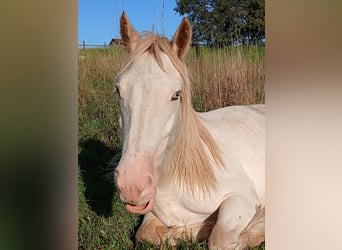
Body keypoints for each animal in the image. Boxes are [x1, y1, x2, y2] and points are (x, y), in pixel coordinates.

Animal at [113, 12, 266, 250]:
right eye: (118, 90)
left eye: (176, 94)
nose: (132, 185)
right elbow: (146, 233)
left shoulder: (242, 197)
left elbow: (219, 238)